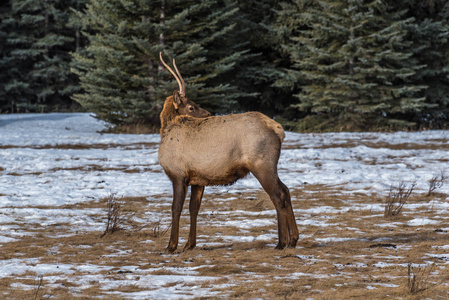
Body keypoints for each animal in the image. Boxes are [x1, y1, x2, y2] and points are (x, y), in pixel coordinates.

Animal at [158, 52, 298, 252]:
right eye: (191, 107)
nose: (209, 114)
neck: (165, 130)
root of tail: (278, 129)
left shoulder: (178, 174)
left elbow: (175, 208)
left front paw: (171, 245)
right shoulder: (198, 179)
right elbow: (194, 208)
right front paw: (189, 244)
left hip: (261, 165)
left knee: (278, 195)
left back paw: (282, 242)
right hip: (269, 166)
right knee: (286, 190)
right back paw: (293, 239)